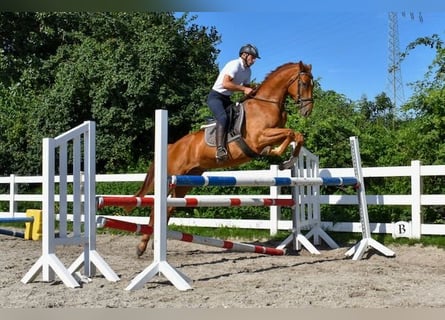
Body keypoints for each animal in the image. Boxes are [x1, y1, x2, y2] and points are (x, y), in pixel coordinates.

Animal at [130, 60, 314, 256]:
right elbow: (290, 133)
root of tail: (171, 146)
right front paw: (281, 157)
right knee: (155, 208)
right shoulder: (259, 137)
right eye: (304, 84)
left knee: (169, 207)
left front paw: (287, 160)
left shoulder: (271, 134)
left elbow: (297, 135)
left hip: (185, 181)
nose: (307, 111)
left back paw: (155, 243)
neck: (267, 104)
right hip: (171, 177)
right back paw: (142, 246)